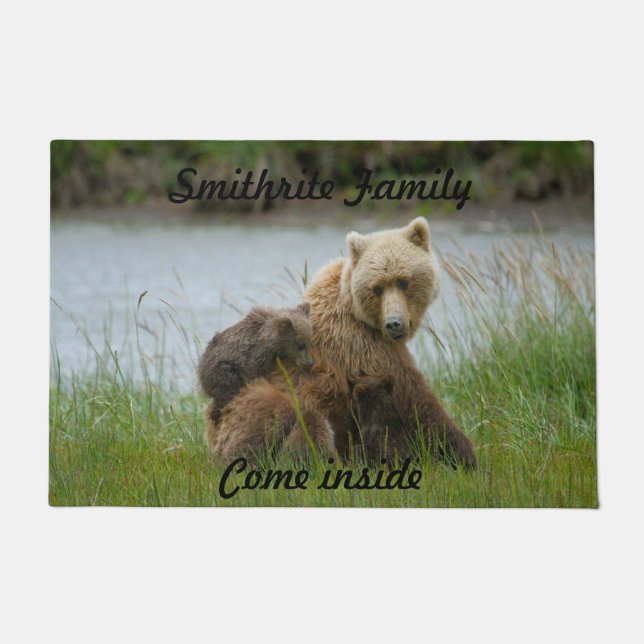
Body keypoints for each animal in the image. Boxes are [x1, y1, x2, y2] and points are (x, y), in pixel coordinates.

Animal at [210, 217, 477, 469]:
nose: (394, 324)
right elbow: (416, 401)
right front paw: (465, 456)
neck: (359, 313)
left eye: (403, 281)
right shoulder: (364, 347)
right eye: (377, 287)